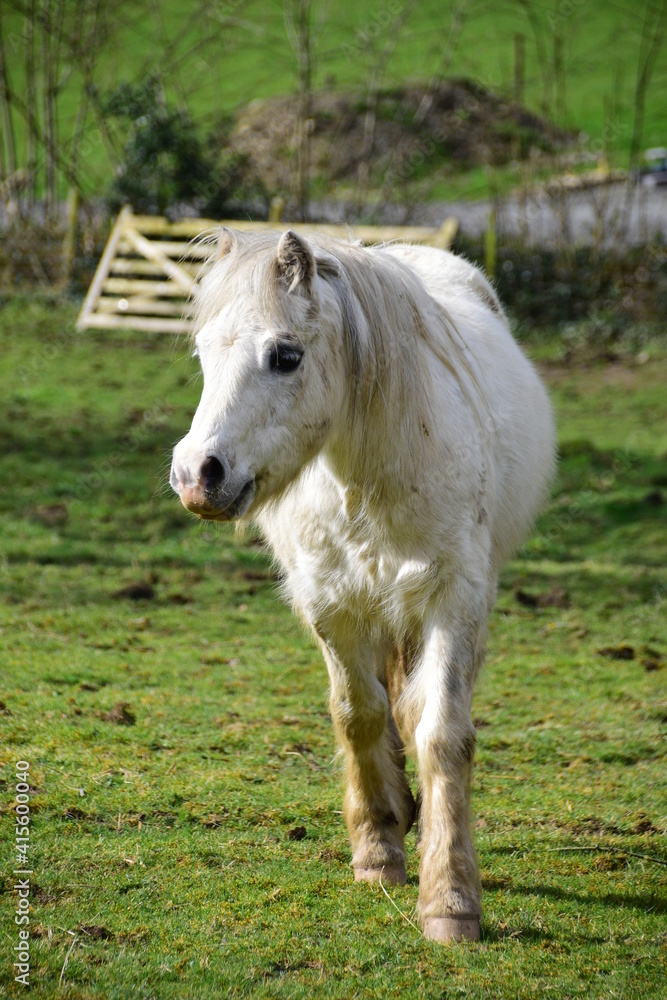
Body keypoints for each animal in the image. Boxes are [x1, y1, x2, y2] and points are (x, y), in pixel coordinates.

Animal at [170, 228, 555, 943]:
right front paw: (378, 851)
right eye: (204, 352)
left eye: (285, 356)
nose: (196, 475)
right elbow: (359, 715)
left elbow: (441, 734)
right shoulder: (332, 605)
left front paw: (450, 900)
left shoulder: (453, 600)